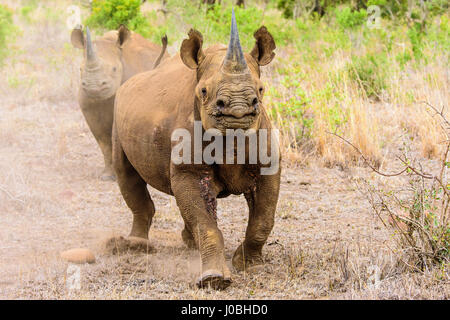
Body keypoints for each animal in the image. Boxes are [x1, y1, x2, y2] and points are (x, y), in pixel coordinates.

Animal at [70, 25, 169, 180]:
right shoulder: (88, 107)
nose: (94, 86)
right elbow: (104, 142)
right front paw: (107, 176)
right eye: (80, 69)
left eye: (114, 69)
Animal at [112, 11, 280, 288]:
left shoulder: (268, 165)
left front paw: (249, 265)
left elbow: (263, 219)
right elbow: (205, 223)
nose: (237, 111)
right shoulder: (189, 170)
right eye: (203, 91)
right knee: (126, 172)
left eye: (261, 90)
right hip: (117, 112)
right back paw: (136, 247)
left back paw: (187, 243)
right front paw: (214, 280)